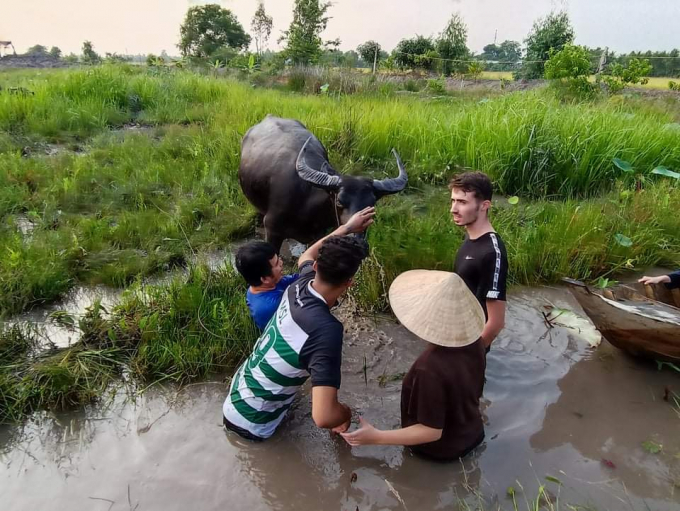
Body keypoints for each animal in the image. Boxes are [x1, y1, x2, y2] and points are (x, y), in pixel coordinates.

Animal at [238, 115, 408, 252]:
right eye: (339, 202)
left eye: (372, 206)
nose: (357, 241)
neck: (305, 201)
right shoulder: (273, 230)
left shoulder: (319, 234)